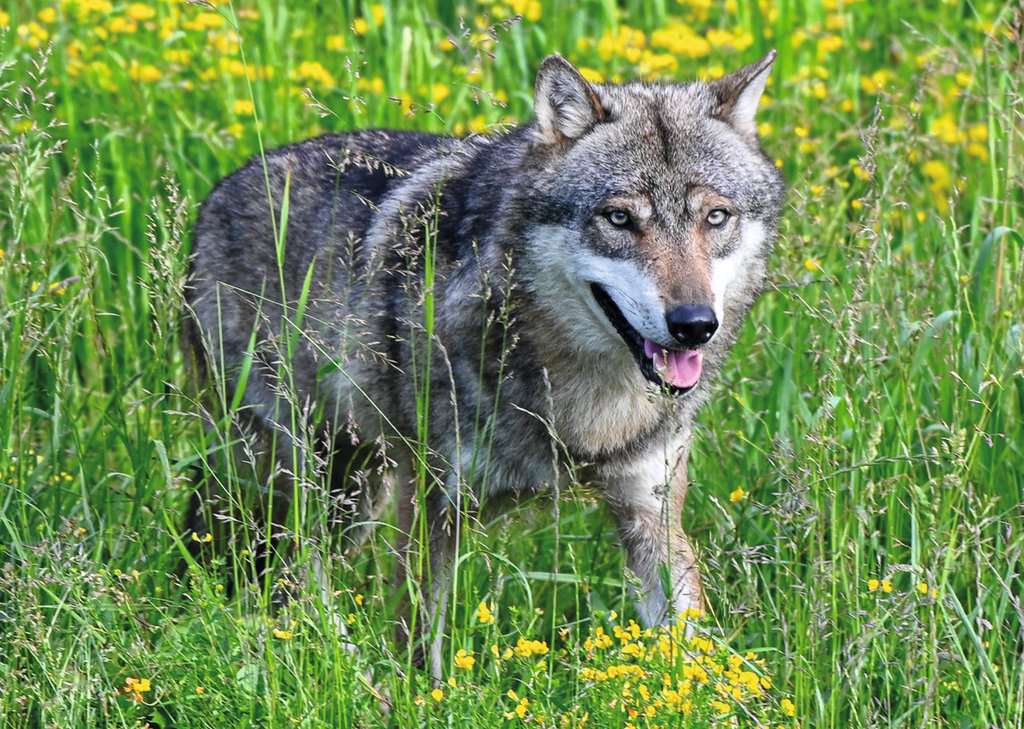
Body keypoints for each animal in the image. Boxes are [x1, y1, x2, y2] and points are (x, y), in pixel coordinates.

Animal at [183, 51, 784, 677]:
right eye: (619, 218)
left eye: (715, 217)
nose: (694, 324)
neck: (585, 401)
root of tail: (216, 197)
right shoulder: (431, 504)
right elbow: (417, 640)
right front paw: (417, 693)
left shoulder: (652, 512)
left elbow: (690, 650)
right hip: (305, 480)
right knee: (289, 574)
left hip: (354, 493)